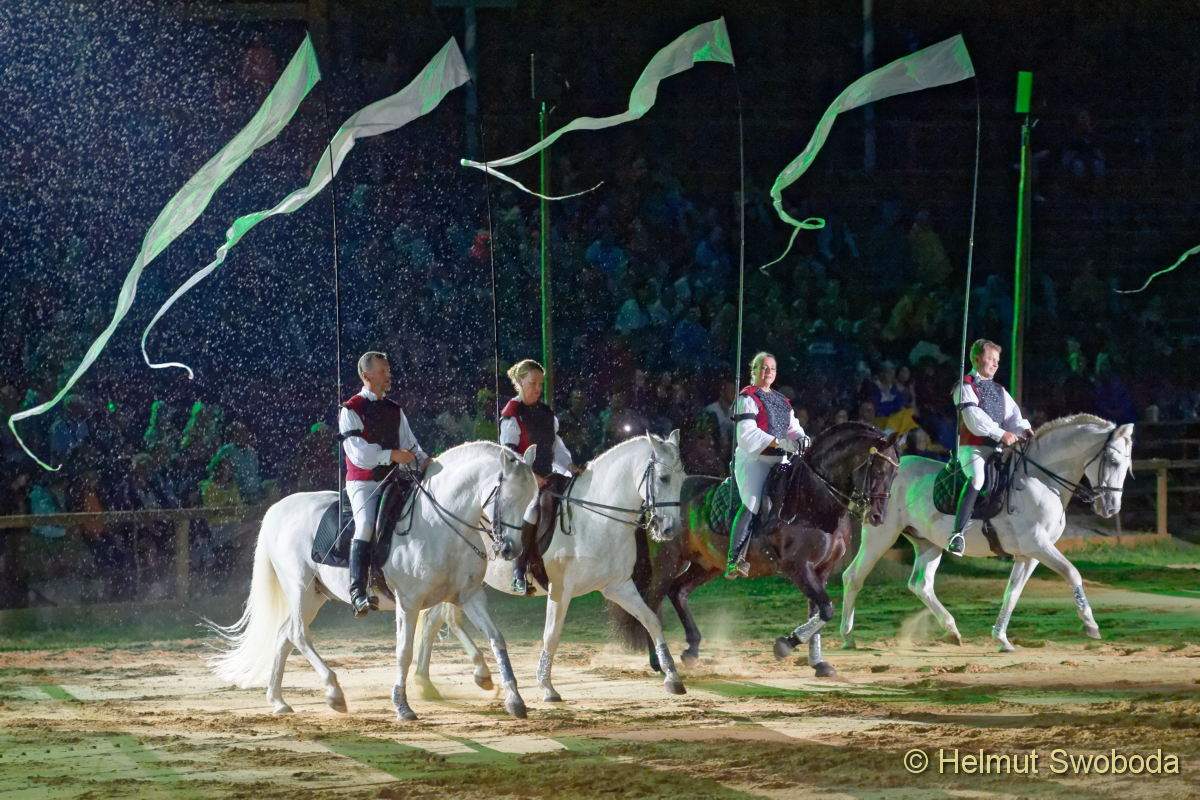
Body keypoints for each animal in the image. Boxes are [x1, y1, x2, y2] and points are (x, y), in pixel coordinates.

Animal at [205, 441, 540, 720]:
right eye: (508, 497)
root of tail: (278, 509)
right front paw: (402, 706)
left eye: (531, 499)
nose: (511, 550)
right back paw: (333, 692)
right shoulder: (408, 603)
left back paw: (278, 701)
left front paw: (514, 699)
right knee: (298, 634)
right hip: (300, 587)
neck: (438, 524)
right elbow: (404, 652)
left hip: (315, 595)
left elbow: (496, 638)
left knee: (283, 636)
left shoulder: (469, 596)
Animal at [413, 431, 690, 701]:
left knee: (434, 619)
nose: (670, 529)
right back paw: (469, 674)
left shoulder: (618, 586)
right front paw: (547, 687)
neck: (593, 520)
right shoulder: (560, 589)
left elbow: (652, 620)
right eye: (664, 478)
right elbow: (552, 635)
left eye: (682, 479)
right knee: (445, 617)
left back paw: (427, 683)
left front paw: (673, 678)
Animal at [617, 422, 900, 678]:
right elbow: (826, 609)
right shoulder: (798, 568)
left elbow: (819, 612)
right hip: (668, 560)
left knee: (679, 591)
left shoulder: (821, 570)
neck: (812, 500)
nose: (877, 517)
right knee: (652, 602)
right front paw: (785, 645)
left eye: (894, 474)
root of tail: (655, 503)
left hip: (706, 565)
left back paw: (692, 650)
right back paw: (657, 661)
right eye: (877, 469)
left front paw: (819, 663)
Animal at [840, 414, 1134, 652]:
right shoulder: (1038, 545)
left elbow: (1012, 593)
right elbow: (1072, 572)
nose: (1110, 507)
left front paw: (1001, 638)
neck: (1040, 480)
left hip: (929, 543)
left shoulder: (1029, 554)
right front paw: (1091, 625)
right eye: (1112, 460)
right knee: (853, 577)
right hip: (881, 535)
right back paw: (848, 637)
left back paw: (952, 631)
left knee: (921, 584)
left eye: (1127, 465)